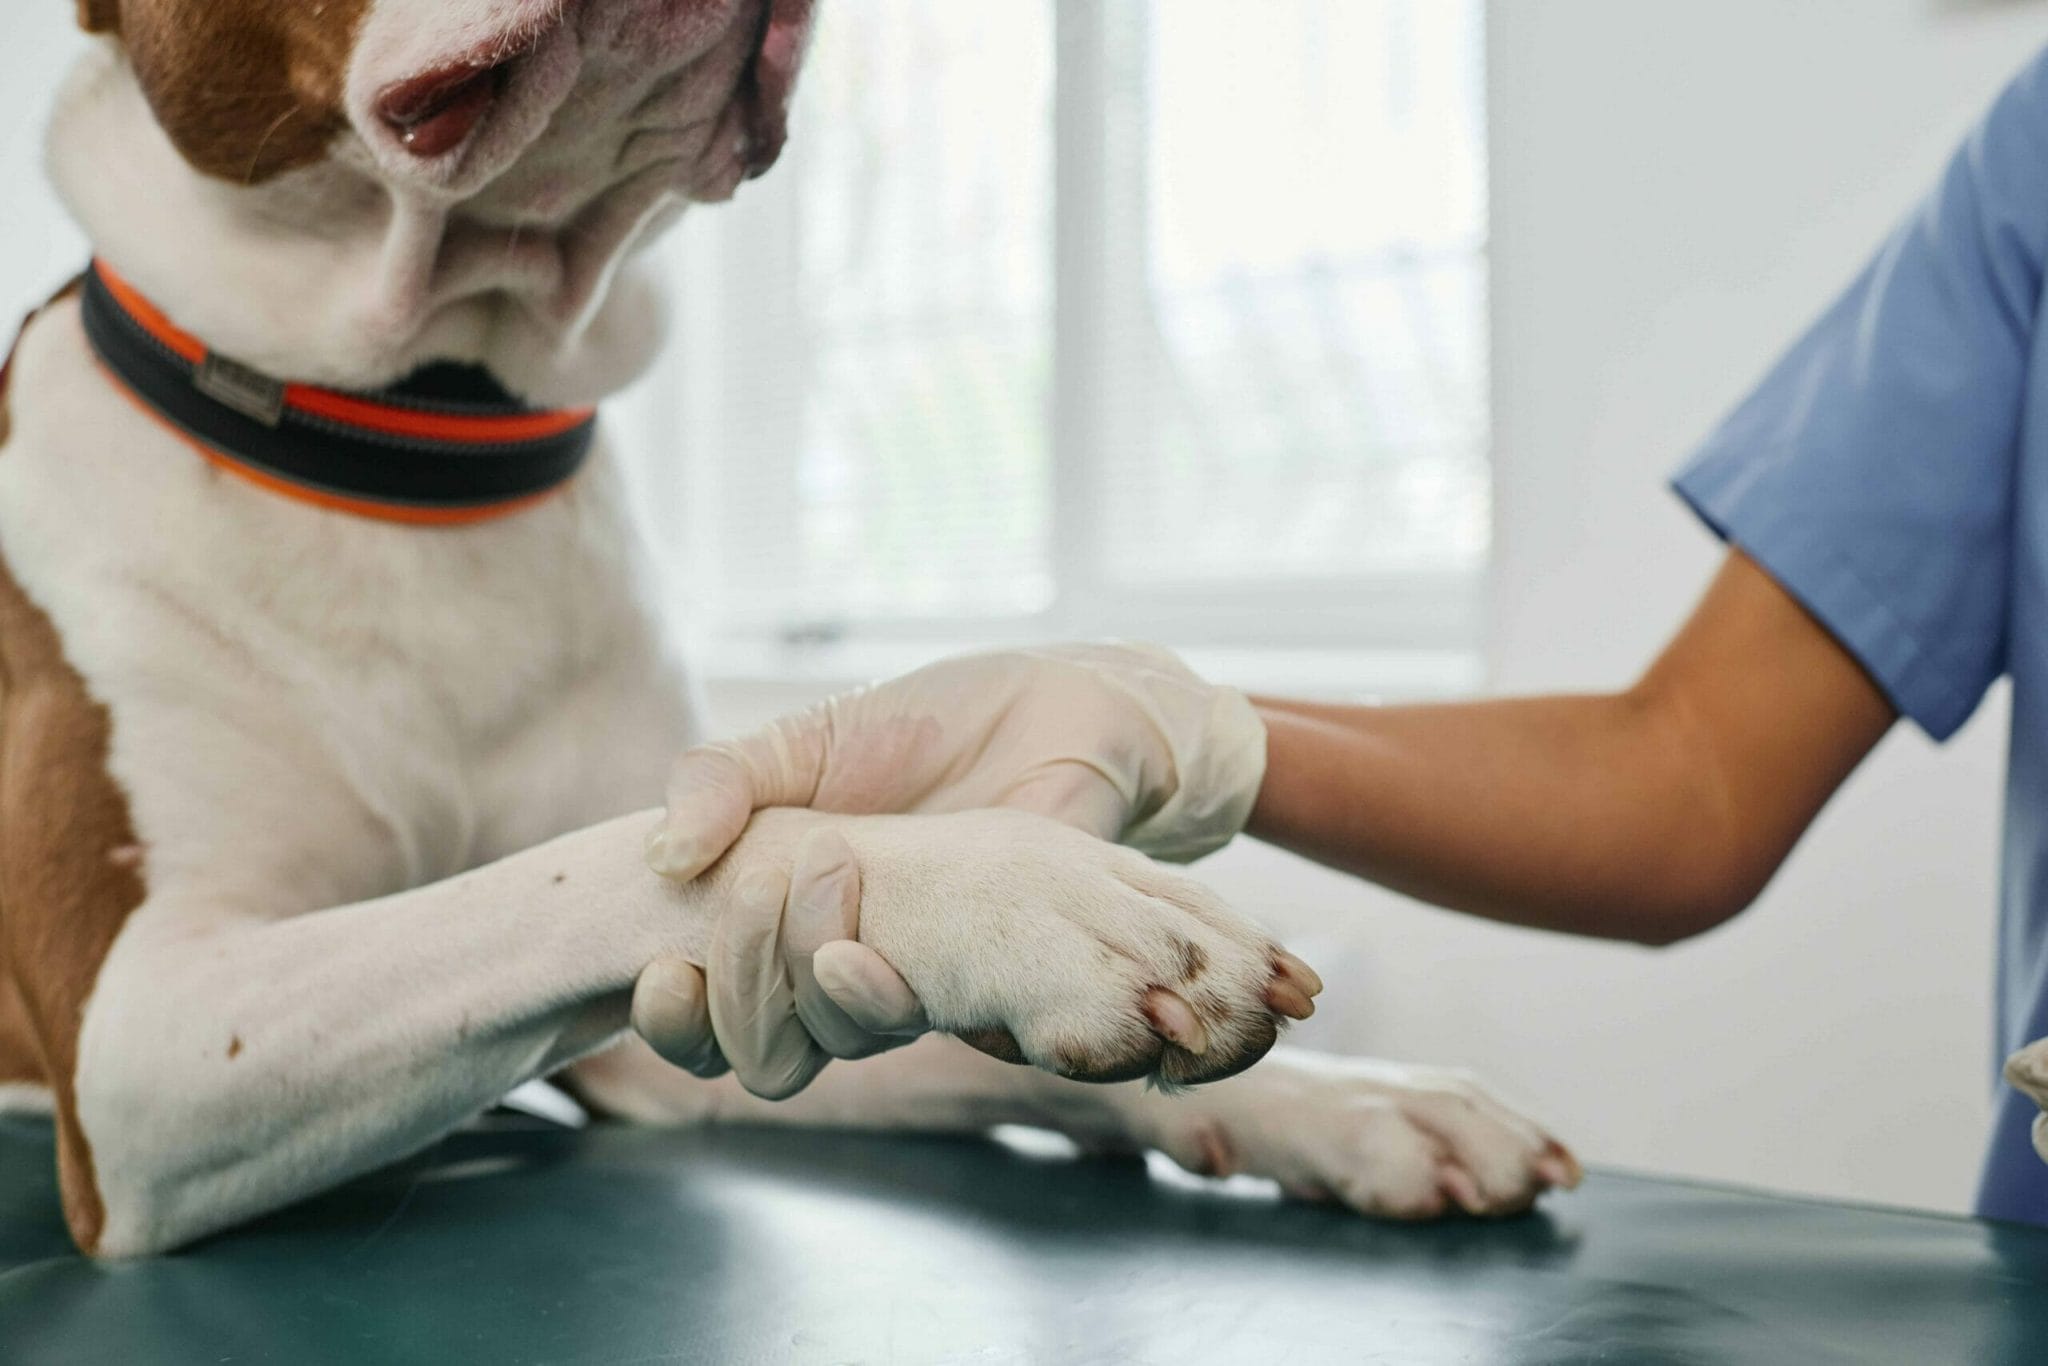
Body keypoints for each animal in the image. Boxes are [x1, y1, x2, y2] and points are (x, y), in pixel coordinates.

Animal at [0, 0, 1564, 1261]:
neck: (418, 448)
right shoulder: (141, 1044)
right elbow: (606, 866)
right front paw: (1017, 891)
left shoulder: (648, 1058)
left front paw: (1357, 1104)